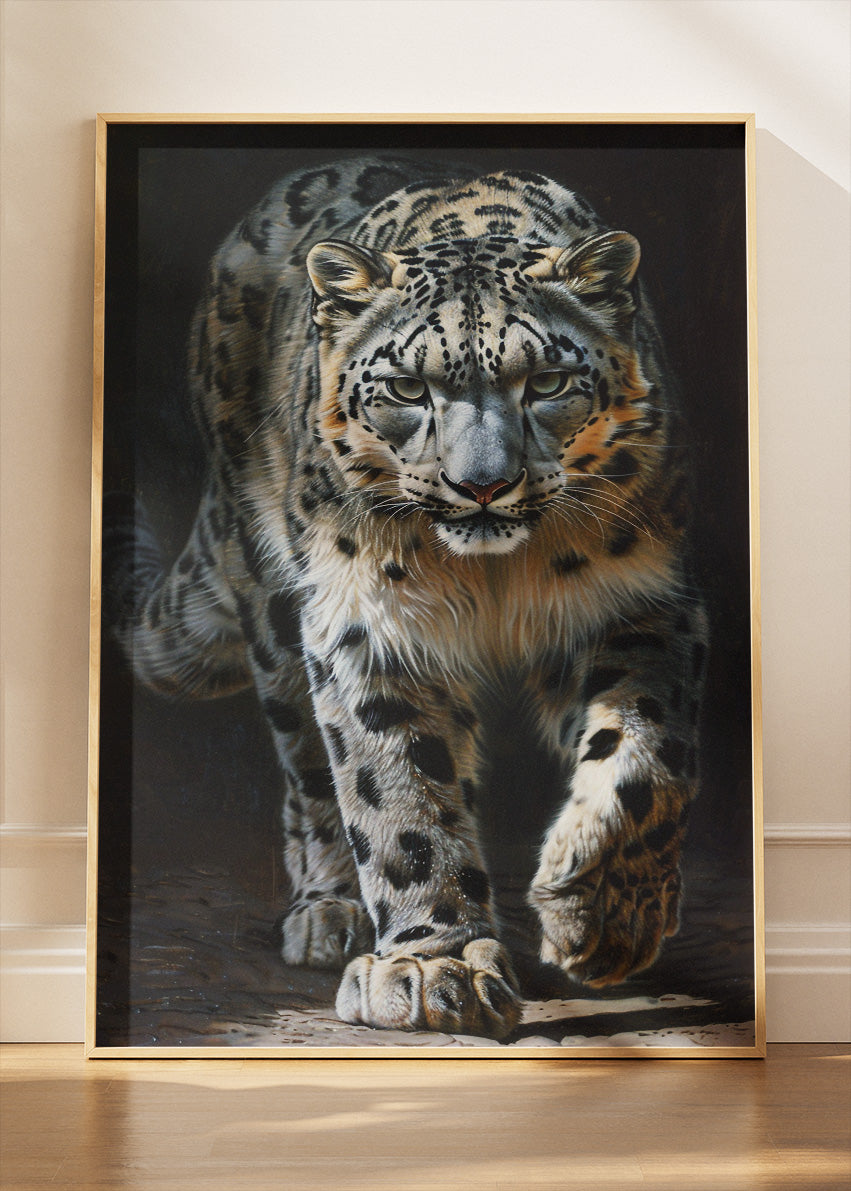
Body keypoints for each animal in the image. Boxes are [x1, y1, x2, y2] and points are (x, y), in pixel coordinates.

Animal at [106, 156, 707, 1041]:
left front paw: (601, 917)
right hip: (275, 605)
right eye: (405, 387)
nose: (482, 485)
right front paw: (433, 967)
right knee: (308, 766)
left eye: (548, 381)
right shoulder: (371, 626)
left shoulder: (640, 600)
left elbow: (647, 755)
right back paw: (330, 912)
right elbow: (396, 791)